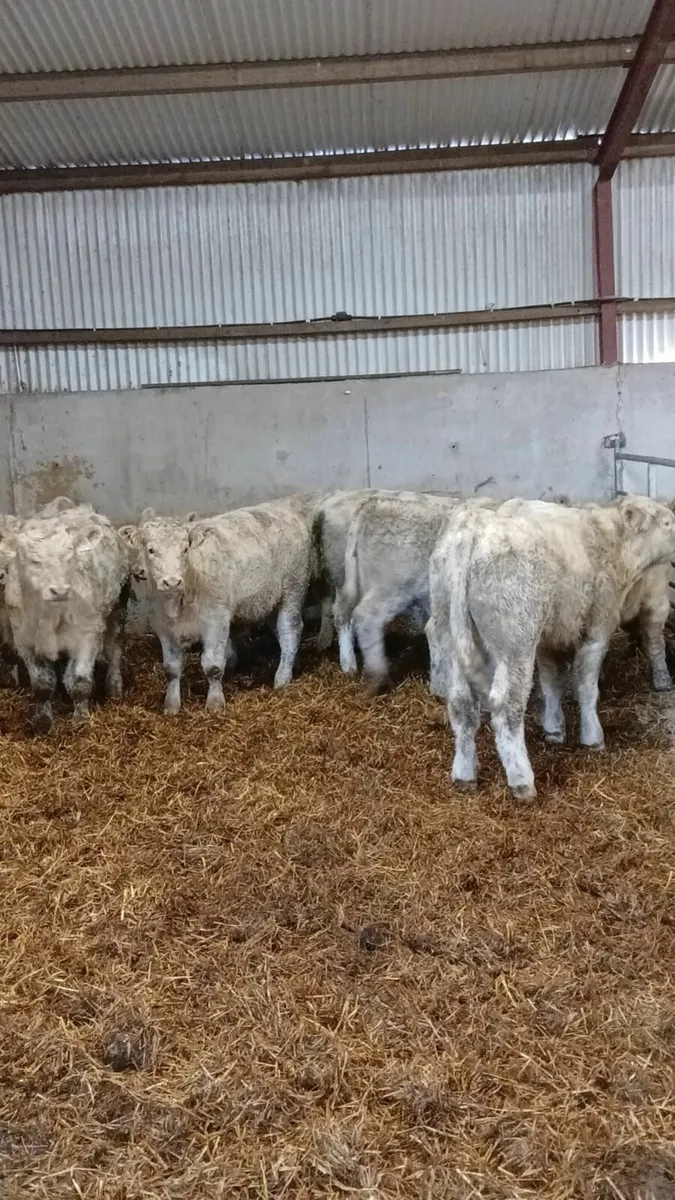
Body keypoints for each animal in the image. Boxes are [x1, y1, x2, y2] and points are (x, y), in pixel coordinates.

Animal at [2, 507, 130, 732]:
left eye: (69, 557)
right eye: (33, 560)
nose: (60, 590)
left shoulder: (87, 634)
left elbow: (80, 681)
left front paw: (81, 720)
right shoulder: (25, 640)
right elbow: (42, 684)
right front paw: (43, 721)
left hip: (118, 610)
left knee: (114, 651)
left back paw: (114, 687)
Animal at [119, 498, 313, 714]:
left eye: (184, 549)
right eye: (151, 550)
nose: (172, 581)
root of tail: (284, 508)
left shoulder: (216, 620)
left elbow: (212, 666)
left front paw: (215, 704)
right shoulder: (163, 627)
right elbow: (171, 668)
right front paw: (171, 705)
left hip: (293, 589)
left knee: (290, 630)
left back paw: (282, 678)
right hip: (270, 600)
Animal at [427, 495, 675, 802]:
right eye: (667, 523)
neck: (611, 543)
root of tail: (474, 526)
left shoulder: (549, 639)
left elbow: (552, 682)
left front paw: (554, 730)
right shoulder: (597, 629)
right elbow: (585, 685)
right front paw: (592, 737)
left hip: (450, 634)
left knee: (461, 703)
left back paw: (464, 774)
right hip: (516, 641)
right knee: (506, 706)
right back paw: (522, 781)